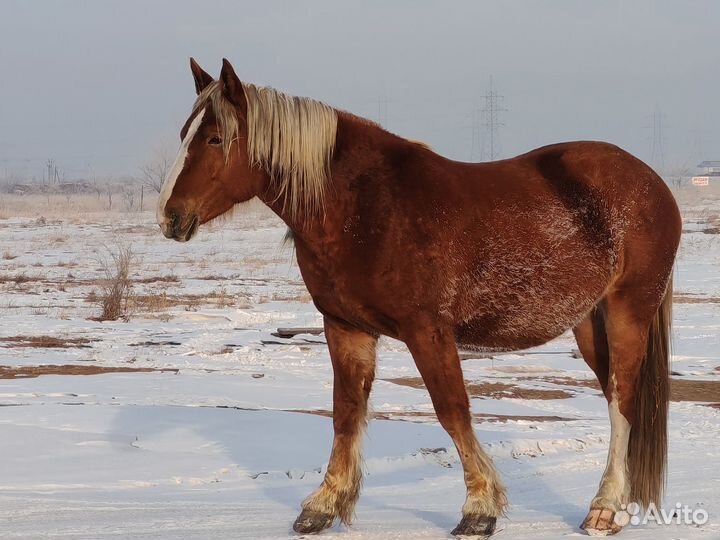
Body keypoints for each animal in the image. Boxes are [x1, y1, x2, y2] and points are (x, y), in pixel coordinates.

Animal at [156, 58, 681, 538]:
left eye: (215, 139)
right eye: (184, 133)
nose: (168, 217)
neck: (366, 209)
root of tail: (652, 181)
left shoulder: (427, 331)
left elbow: (452, 411)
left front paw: (479, 509)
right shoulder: (344, 326)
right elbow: (345, 413)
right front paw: (323, 505)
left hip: (627, 311)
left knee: (622, 399)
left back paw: (605, 509)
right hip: (590, 321)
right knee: (615, 397)